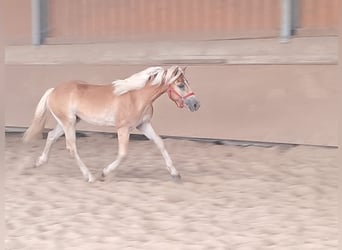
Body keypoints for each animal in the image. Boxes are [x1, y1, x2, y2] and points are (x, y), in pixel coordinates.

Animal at [22, 65, 200, 183]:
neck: (136, 97)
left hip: (68, 122)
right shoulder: (123, 129)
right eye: (181, 85)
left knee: (51, 136)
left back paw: (39, 162)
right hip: (68, 123)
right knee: (71, 147)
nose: (196, 104)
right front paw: (104, 173)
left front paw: (175, 174)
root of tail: (53, 91)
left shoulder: (143, 125)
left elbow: (160, 143)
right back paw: (90, 176)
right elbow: (123, 154)